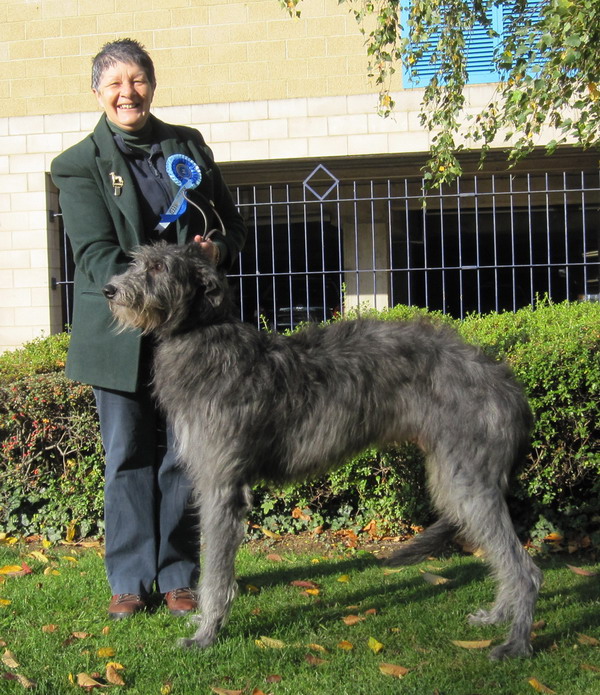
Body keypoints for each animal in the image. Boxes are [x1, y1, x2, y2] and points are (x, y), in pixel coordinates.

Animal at [104, 242, 544, 660]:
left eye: (158, 267)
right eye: (137, 261)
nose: (109, 290)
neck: (203, 337)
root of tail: (507, 382)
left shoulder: (221, 487)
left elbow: (216, 573)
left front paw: (206, 635)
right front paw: (202, 624)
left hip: (466, 478)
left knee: (526, 570)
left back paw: (516, 643)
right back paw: (496, 617)